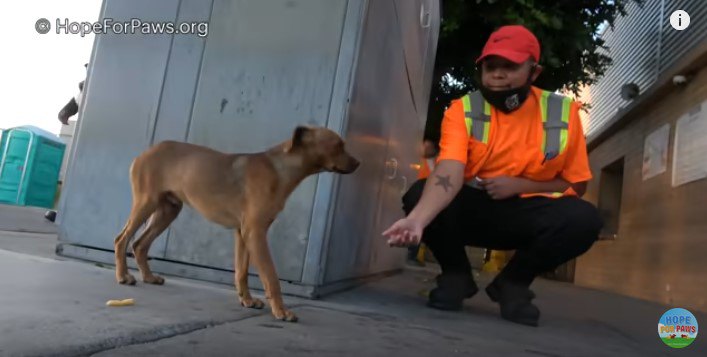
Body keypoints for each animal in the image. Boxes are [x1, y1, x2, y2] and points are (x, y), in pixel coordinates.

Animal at [115, 125, 362, 320]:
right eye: (338, 144)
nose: (359, 163)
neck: (280, 168)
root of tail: (145, 152)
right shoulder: (256, 233)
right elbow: (271, 276)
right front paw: (281, 311)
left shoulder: (243, 233)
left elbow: (241, 271)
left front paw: (247, 300)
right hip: (146, 203)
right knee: (122, 239)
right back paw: (123, 276)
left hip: (168, 211)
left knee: (139, 244)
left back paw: (148, 277)